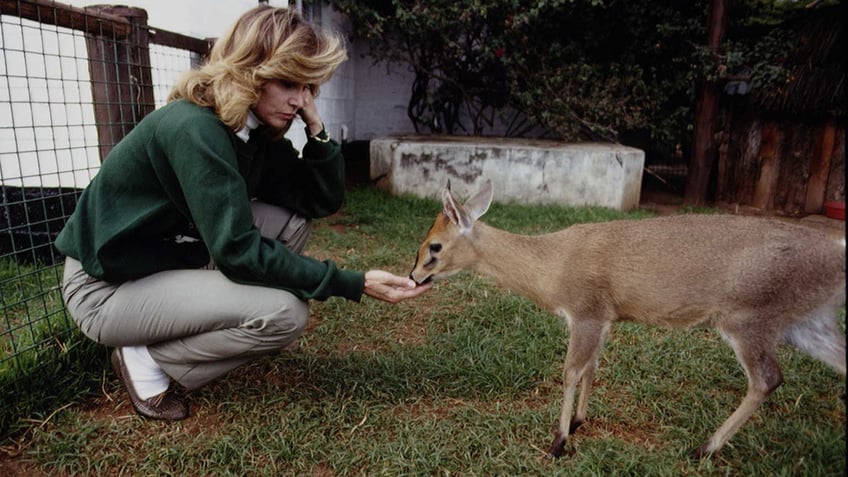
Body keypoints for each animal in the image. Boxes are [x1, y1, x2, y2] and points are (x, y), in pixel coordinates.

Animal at [408, 180, 844, 456]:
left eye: (434, 246)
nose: (413, 277)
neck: (552, 266)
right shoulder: (605, 318)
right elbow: (593, 367)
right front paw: (579, 421)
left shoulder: (585, 311)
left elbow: (570, 371)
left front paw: (558, 443)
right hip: (808, 323)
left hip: (747, 319)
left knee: (767, 379)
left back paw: (703, 448)